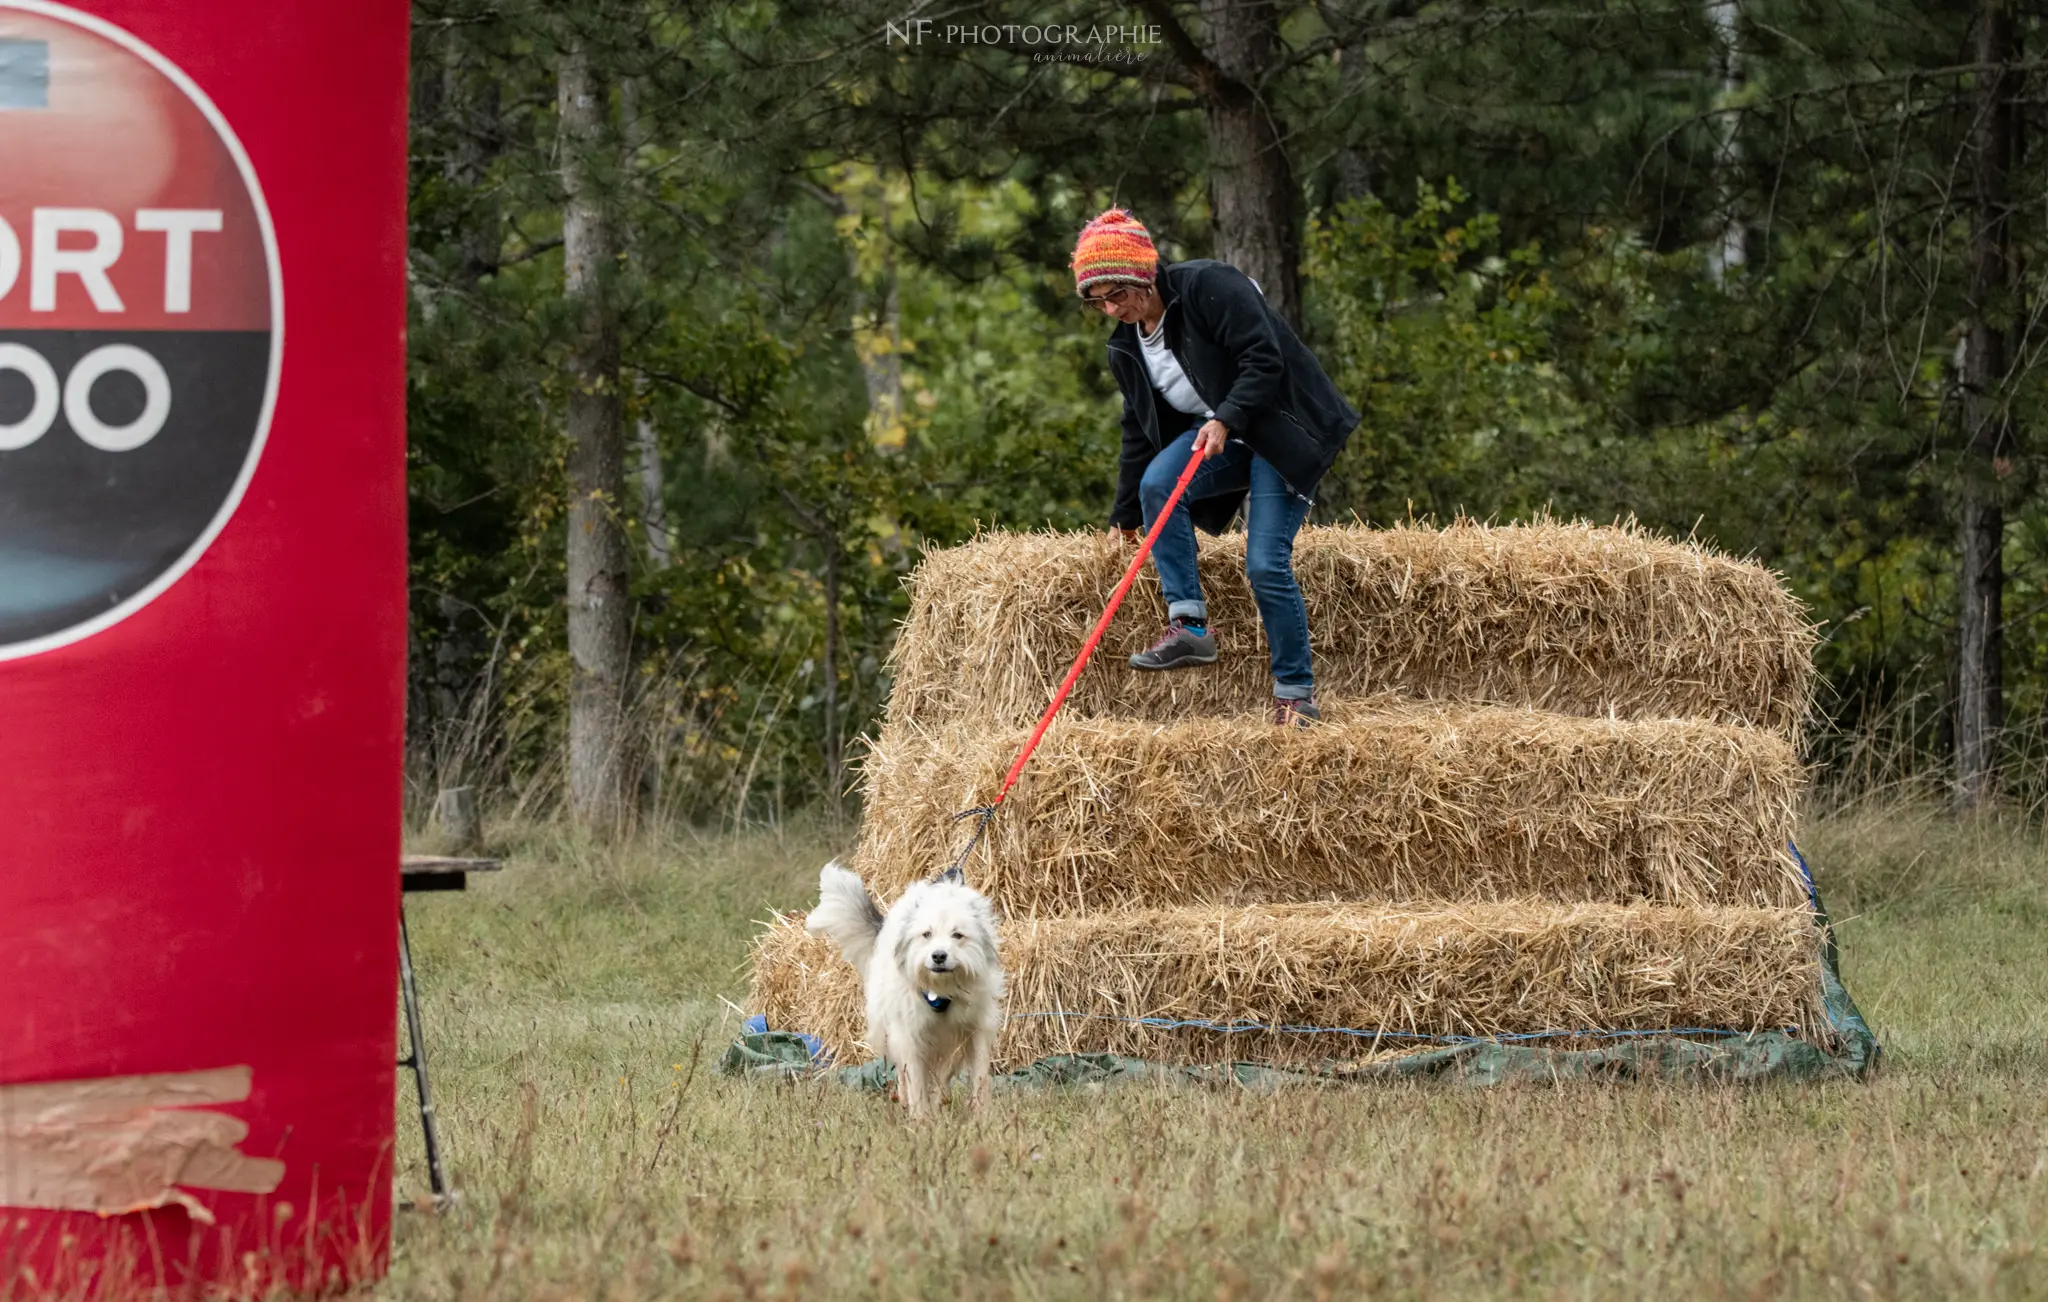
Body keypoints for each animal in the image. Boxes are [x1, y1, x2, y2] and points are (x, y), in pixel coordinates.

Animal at [806, 859, 1015, 1113]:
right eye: (927, 934)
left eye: (957, 935)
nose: (938, 956)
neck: (941, 989)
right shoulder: (910, 1032)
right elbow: (915, 1078)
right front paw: (921, 1116)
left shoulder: (975, 1028)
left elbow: (978, 1075)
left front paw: (980, 1112)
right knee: (903, 1071)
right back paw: (907, 1099)